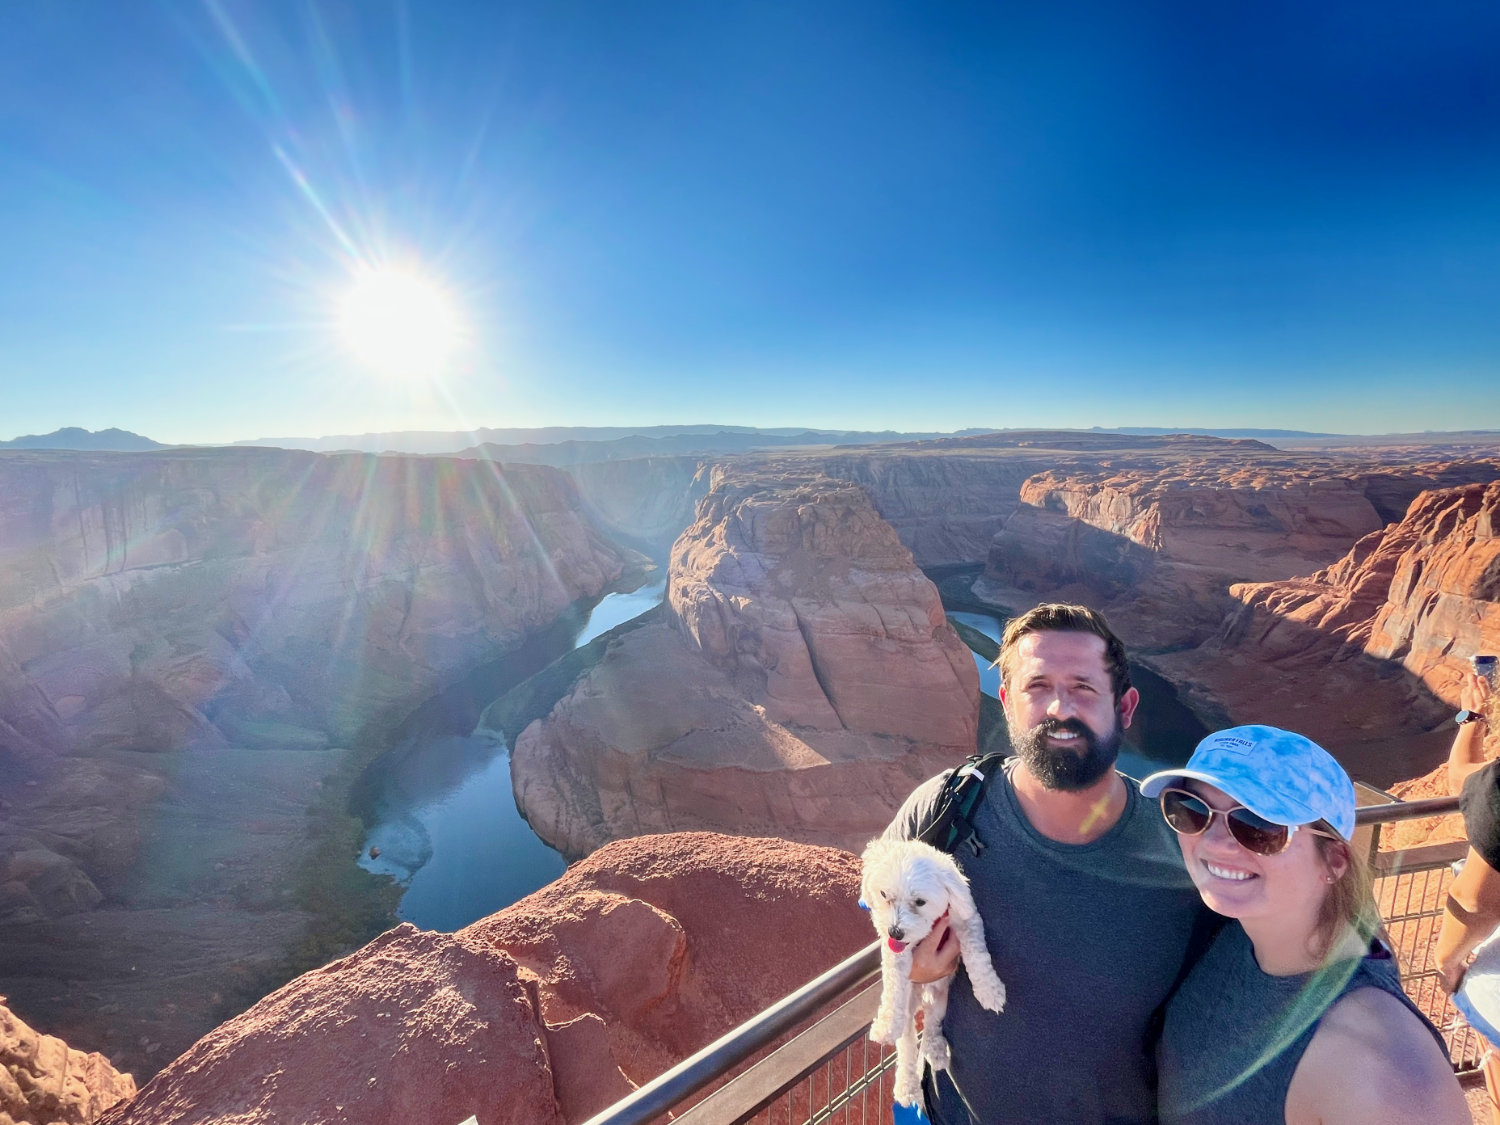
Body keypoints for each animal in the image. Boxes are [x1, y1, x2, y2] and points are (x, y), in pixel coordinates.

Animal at [858, 840, 1008, 1110]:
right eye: (884, 894)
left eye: (920, 901)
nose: (895, 931)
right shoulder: (896, 953)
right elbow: (894, 986)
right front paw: (886, 1024)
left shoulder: (966, 918)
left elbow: (977, 953)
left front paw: (989, 990)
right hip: (911, 1009)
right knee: (907, 1042)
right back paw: (907, 1086)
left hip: (942, 997)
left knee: (932, 1022)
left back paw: (935, 1049)